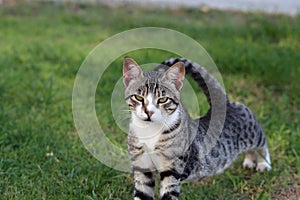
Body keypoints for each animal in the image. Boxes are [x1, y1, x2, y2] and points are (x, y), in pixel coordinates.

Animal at [122, 57, 272, 199]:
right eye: (138, 97)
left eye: (163, 99)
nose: (149, 112)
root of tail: (225, 103)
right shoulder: (142, 169)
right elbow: (142, 194)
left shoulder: (174, 170)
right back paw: (249, 161)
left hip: (252, 131)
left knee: (261, 142)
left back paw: (263, 164)